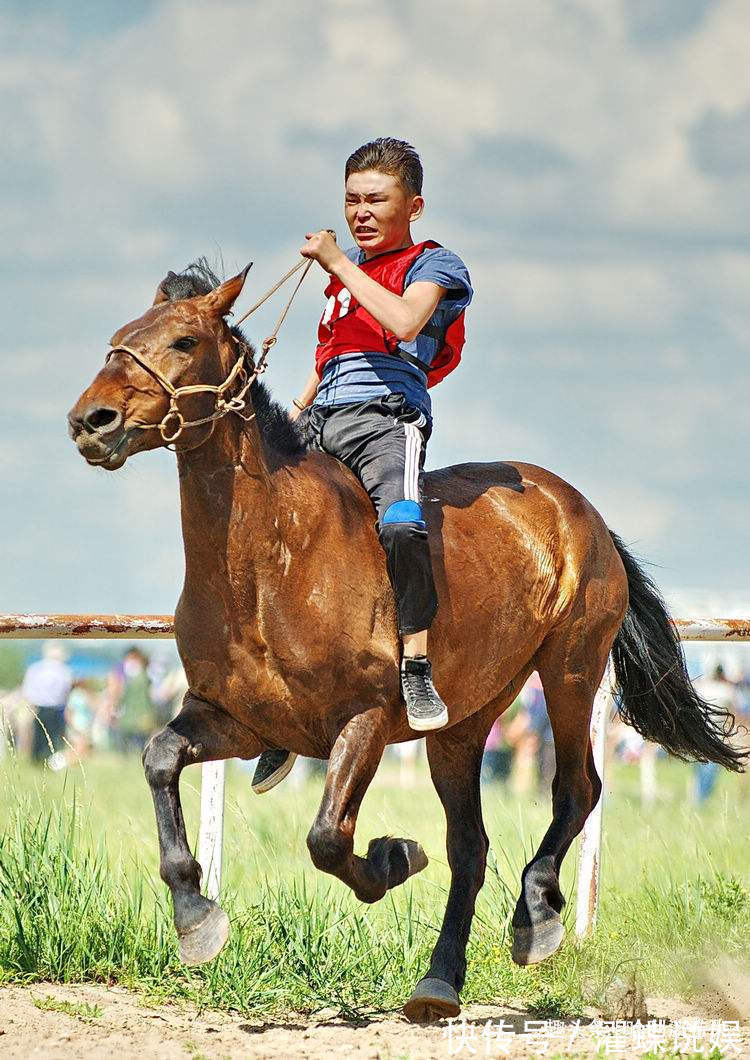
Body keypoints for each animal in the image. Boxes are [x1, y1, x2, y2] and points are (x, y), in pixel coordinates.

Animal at [68, 260, 745, 1021]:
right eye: (122, 335)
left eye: (184, 340)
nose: (90, 421)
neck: (269, 561)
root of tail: (580, 510)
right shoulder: (235, 720)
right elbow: (159, 758)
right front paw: (195, 916)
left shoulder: (364, 720)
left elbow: (329, 838)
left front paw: (393, 857)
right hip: (462, 725)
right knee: (470, 845)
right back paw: (439, 979)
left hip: (570, 668)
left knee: (577, 788)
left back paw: (535, 916)